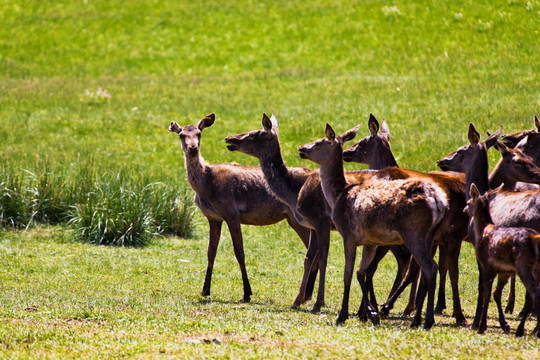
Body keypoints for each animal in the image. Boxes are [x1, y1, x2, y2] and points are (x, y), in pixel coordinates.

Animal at [167, 113, 314, 304]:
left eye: (199, 133)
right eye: (181, 135)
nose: (193, 148)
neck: (206, 186)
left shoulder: (232, 213)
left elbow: (239, 252)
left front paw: (247, 292)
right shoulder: (213, 217)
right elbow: (210, 252)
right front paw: (205, 290)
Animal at [298, 123, 446, 330]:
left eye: (319, 143)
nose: (301, 148)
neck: (338, 196)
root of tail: (439, 202)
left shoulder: (349, 235)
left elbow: (348, 274)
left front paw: (343, 315)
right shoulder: (370, 242)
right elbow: (361, 273)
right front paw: (371, 313)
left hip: (414, 233)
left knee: (430, 268)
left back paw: (427, 320)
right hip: (431, 236)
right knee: (426, 270)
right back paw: (416, 318)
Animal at [464, 183, 540, 338]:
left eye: (468, 202)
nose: (464, 209)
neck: (483, 230)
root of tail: (536, 238)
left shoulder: (486, 265)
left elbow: (486, 295)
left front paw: (482, 326)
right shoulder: (504, 271)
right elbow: (495, 294)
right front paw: (503, 324)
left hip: (524, 265)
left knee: (535, 292)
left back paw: (523, 330)